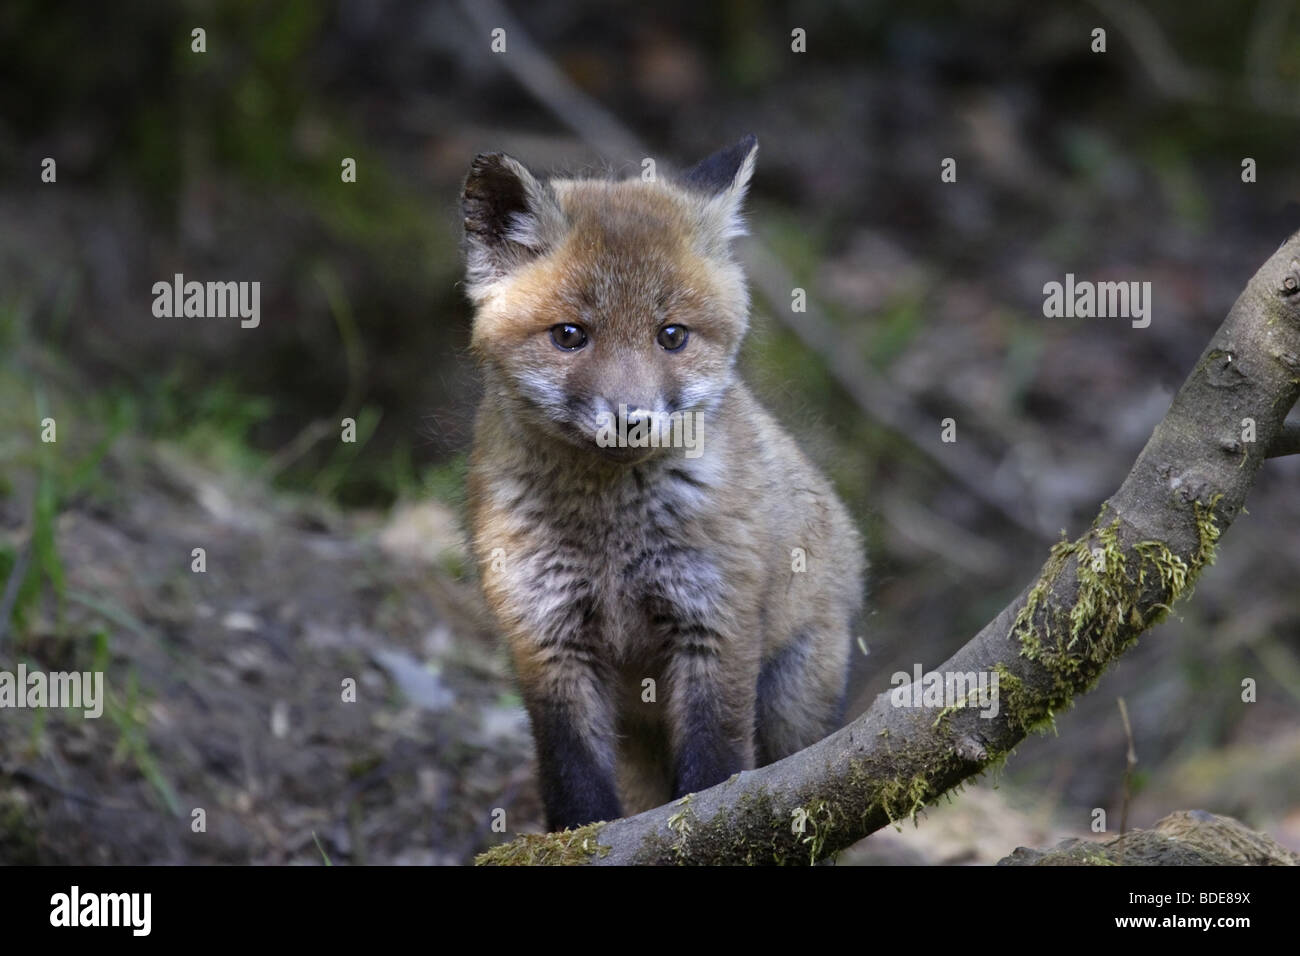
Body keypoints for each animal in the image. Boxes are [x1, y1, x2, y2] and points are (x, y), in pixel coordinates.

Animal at [462, 134, 868, 832]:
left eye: (671, 335)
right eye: (570, 335)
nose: (633, 418)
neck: (609, 536)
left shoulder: (715, 625)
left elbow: (715, 775)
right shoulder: (546, 639)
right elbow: (574, 788)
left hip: (793, 705)